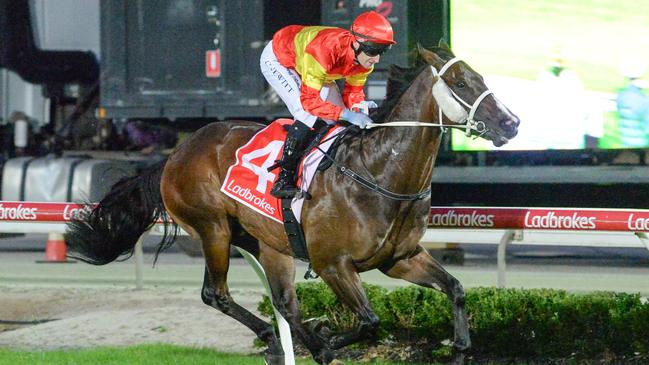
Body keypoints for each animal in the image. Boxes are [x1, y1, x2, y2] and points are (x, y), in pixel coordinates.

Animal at [67, 44, 516, 362]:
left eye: (479, 77)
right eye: (460, 83)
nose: (511, 123)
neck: (378, 172)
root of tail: (176, 154)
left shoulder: (400, 258)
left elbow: (456, 289)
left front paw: (460, 347)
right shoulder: (332, 264)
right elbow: (369, 322)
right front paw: (329, 337)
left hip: (267, 241)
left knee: (283, 301)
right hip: (213, 229)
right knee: (217, 294)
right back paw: (281, 339)